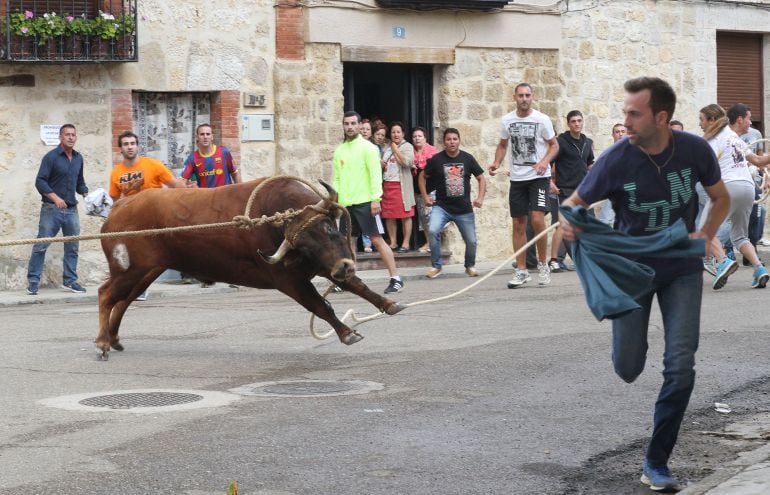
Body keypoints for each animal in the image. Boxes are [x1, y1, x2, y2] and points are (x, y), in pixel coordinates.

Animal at [94, 178, 404, 360]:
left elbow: (357, 285)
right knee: (106, 294)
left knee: (124, 300)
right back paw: (102, 344)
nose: (344, 266)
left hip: (148, 270)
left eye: (329, 227)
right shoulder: (289, 280)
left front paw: (389, 304)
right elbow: (320, 305)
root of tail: (120, 206)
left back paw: (115, 339)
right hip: (130, 270)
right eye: (303, 245)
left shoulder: (322, 265)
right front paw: (348, 333)